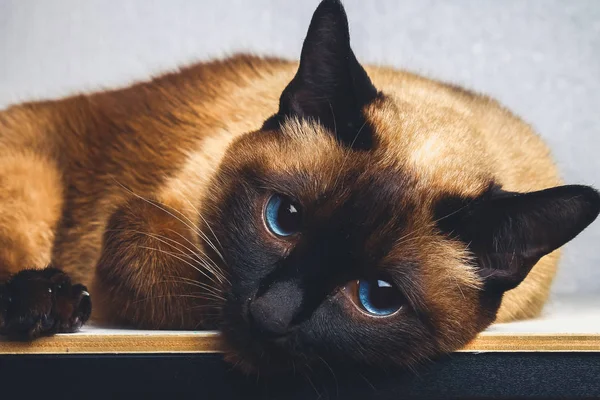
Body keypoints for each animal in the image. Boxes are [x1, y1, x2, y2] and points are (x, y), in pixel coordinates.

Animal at [1, 0, 600, 376]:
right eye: (283, 219)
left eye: (378, 297)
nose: (271, 315)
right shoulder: (145, 223)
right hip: (31, 176)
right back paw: (46, 302)